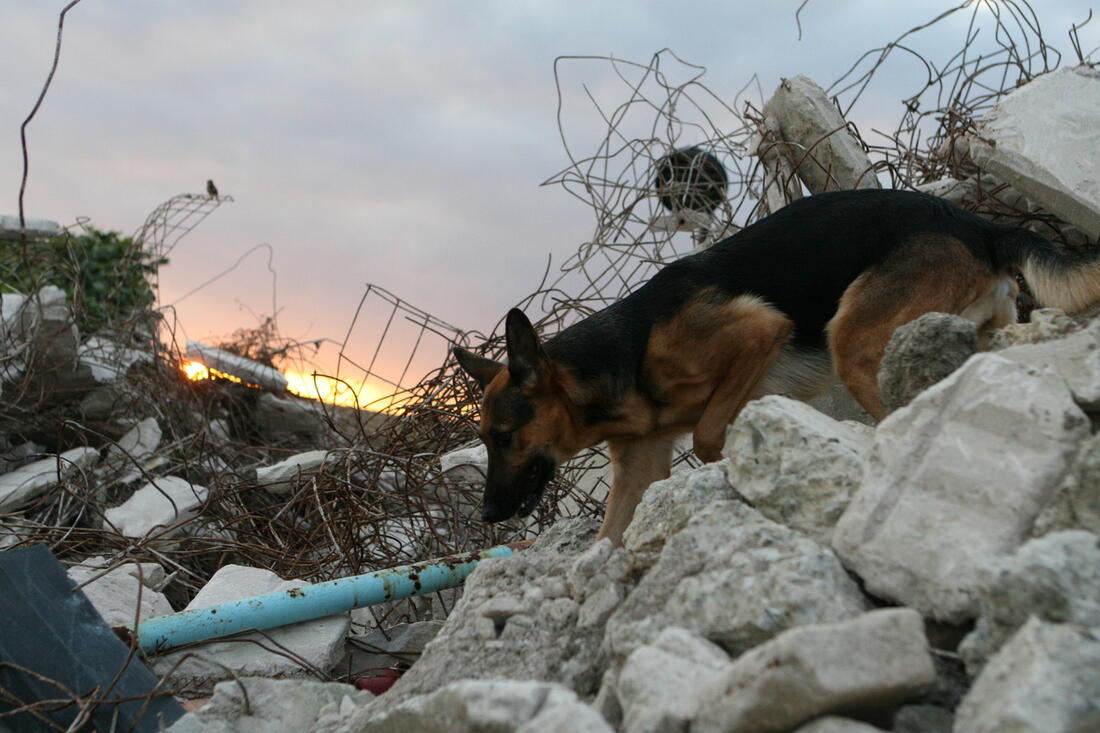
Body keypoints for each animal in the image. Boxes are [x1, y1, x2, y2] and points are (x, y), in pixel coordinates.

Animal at [451, 188, 1100, 541]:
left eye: (502, 436)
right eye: (484, 440)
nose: (487, 514)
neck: (626, 354)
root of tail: (978, 224)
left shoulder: (759, 331)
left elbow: (709, 434)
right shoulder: (641, 462)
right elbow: (608, 538)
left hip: (854, 342)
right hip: (973, 330)